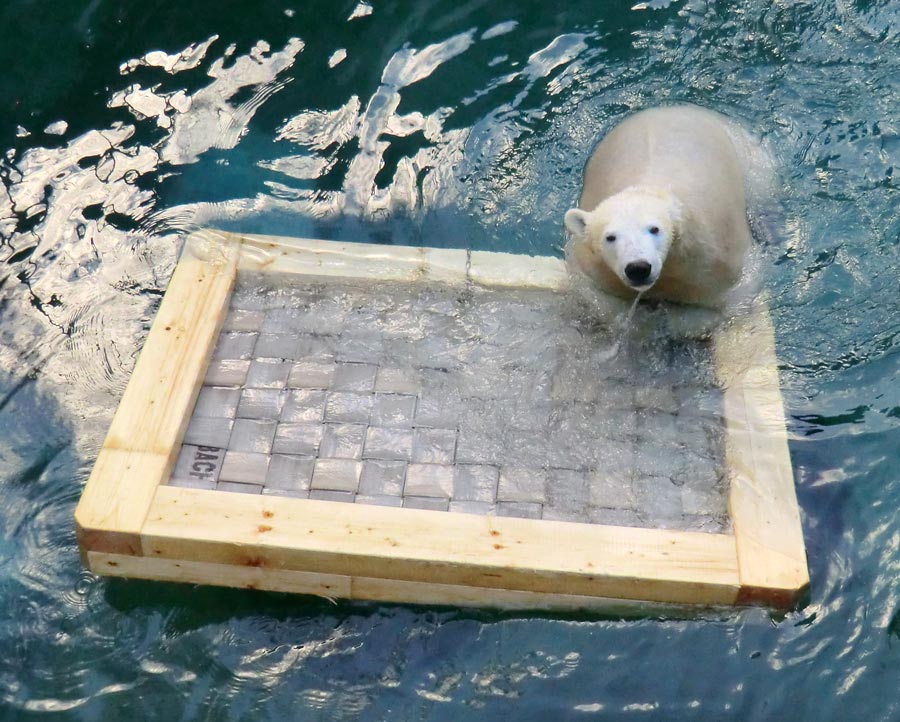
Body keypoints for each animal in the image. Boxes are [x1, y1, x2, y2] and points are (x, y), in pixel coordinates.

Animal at [568, 104, 768, 330]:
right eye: (610, 237)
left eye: (654, 229)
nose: (638, 268)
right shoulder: (595, 269)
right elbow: (597, 297)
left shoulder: (716, 260)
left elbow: (737, 300)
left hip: (748, 155)